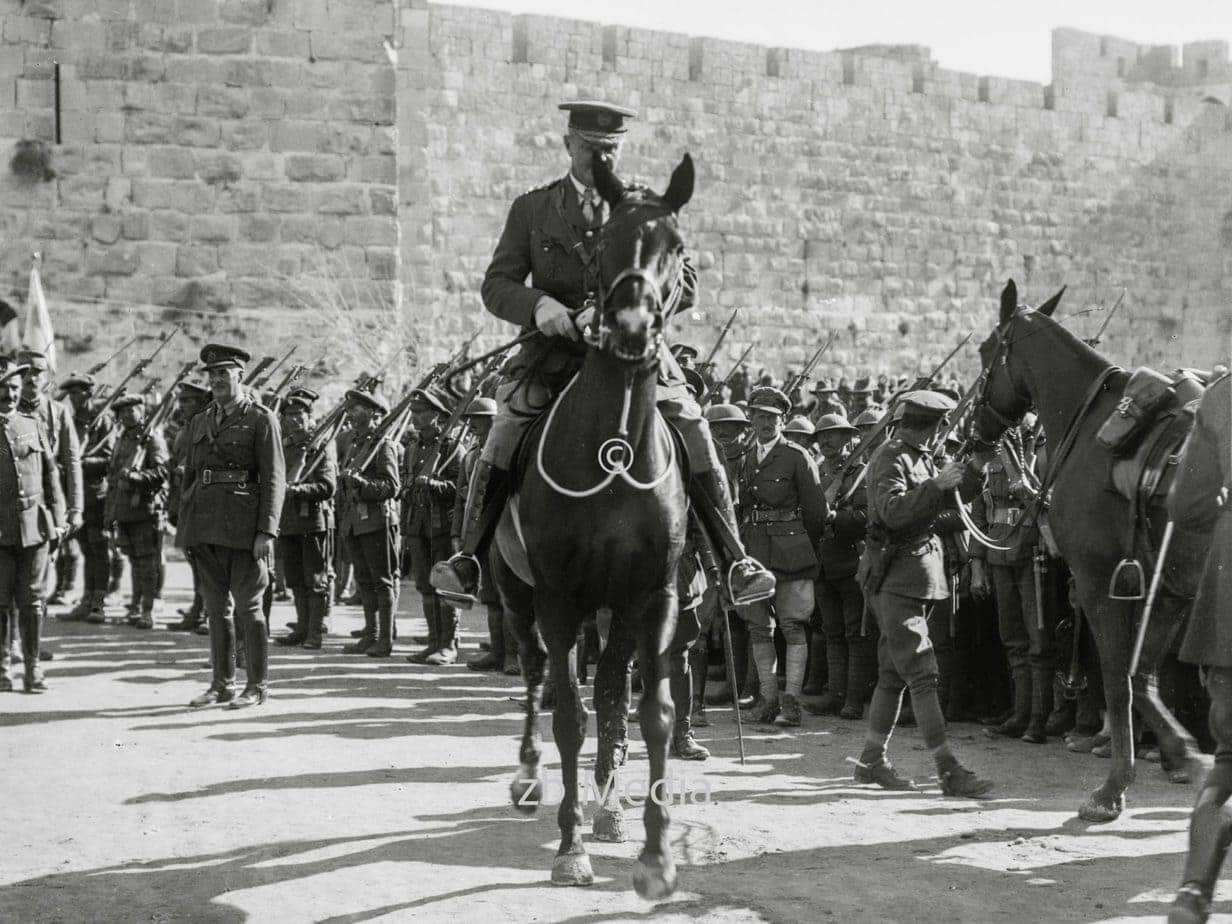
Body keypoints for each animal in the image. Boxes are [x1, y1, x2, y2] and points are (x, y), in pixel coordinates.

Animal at [495, 152, 699, 896]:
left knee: (612, 689)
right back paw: (531, 779)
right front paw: (569, 847)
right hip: (517, 596)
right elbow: (569, 715)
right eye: (602, 244)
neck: (614, 448)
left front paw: (656, 854)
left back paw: (610, 807)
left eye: (676, 247)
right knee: (535, 675)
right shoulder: (559, 598)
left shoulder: (653, 597)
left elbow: (651, 711)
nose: (633, 327)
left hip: (615, 613)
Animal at [970, 278, 1202, 822]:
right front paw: (1182, 753)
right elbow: (1143, 676)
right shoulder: (1167, 591)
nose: (972, 428)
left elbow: (1118, 678)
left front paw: (1114, 786)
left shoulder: (1101, 585)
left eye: (986, 349)